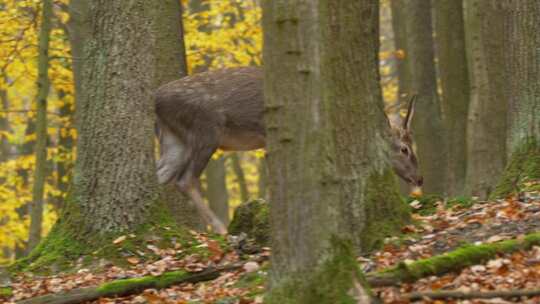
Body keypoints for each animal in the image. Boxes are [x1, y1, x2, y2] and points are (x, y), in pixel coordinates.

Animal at [154, 66, 424, 234]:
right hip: (206, 132)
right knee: (185, 179)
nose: (419, 178)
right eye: (404, 149)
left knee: (161, 174)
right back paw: (220, 228)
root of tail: (156, 101)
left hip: (175, 140)